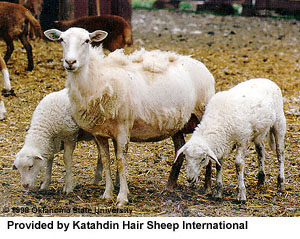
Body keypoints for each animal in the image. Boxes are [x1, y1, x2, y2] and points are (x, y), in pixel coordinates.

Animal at [43, 26, 214, 205]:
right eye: (61, 39)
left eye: (87, 41)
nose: (70, 62)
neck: (97, 78)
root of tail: (200, 64)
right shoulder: (100, 133)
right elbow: (106, 160)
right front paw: (107, 193)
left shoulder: (123, 127)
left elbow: (120, 160)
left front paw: (122, 197)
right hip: (178, 122)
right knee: (179, 147)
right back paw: (170, 186)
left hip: (202, 112)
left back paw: (207, 188)